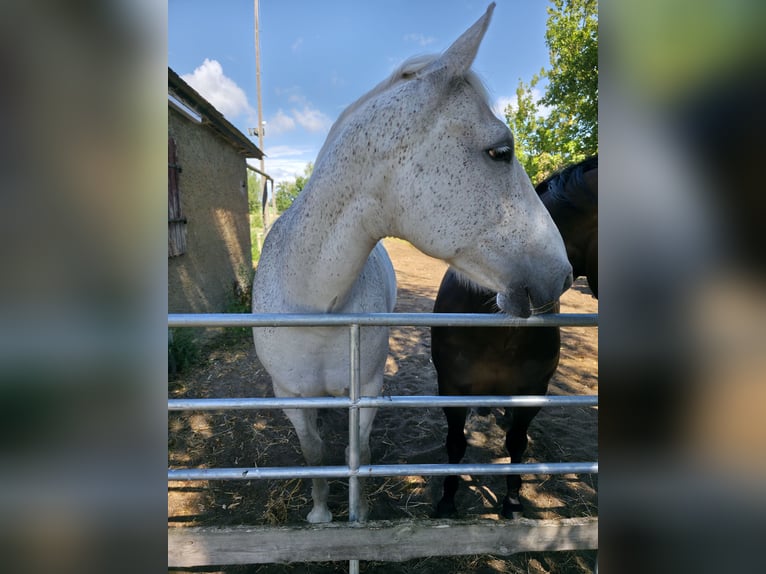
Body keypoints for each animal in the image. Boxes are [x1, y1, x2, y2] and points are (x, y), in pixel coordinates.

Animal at [252, 3, 573, 524]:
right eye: (500, 151)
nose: (562, 274)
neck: (314, 303)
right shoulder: (289, 397)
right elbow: (315, 454)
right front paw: (320, 514)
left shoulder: (367, 390)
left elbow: (354, 454)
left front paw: (357, 514)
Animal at [431, 154, 597, 519]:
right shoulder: (451, 388)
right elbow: (455, 443)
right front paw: (447, 500)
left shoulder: (533, 390)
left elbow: (517, 444)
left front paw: (512, 500)